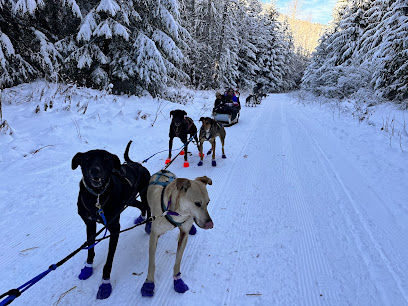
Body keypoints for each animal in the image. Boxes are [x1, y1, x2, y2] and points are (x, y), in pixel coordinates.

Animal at [72, 140, 151, 298]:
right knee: (140, 205)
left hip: (143, 193)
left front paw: (105, 283)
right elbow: (90, 248)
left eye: (106, 158)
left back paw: (149, 224)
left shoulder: (114, 229)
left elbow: (109, 261)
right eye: (86, 159)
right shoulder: (90, 224)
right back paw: (141, 217)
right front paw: (88, 267)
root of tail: (137, 164)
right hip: (130, 199)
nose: (95, 171)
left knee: (148, 205)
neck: (97, 197)